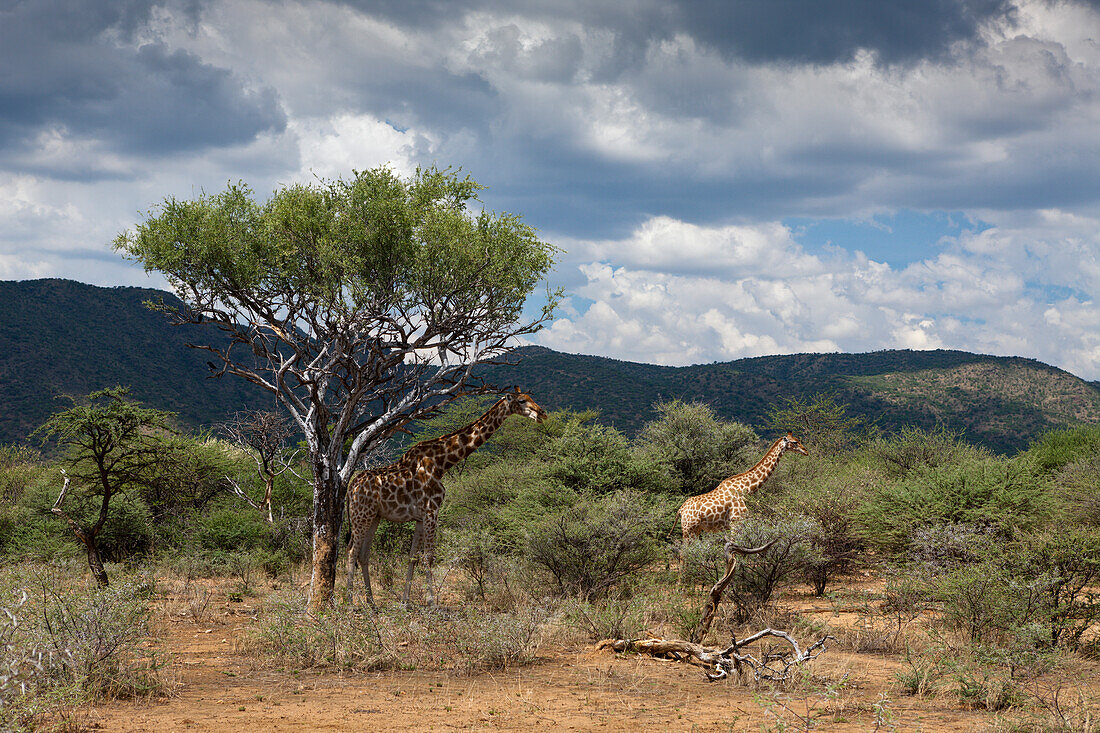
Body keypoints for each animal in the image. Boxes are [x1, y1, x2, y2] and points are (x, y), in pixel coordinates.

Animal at [347, 387, 545, 603]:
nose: (542, 413)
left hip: (373, 516)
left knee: (363, 555)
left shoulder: (420, 517)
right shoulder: (431, 510)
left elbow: (413, 557)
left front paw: (405, 602)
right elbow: (429, 556)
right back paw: (348, 603)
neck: (441, 463)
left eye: (531, 397)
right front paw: (432, 602)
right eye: (522, 401)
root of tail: (350, 488)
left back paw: (372, 604)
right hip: (360, 515)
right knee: (351, 552)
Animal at [673, 429, 805, 537]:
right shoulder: (736, 521)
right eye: (795, 442)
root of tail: (681, 510)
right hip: (689, 529)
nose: (806, 451)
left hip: (696, 529)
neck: (745, 489)